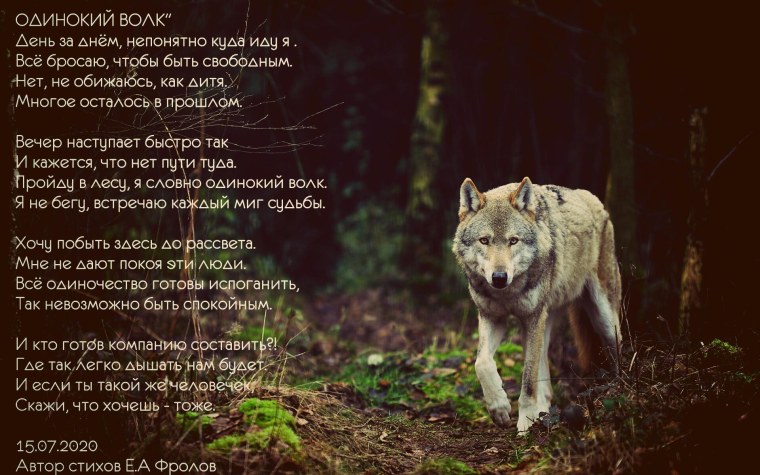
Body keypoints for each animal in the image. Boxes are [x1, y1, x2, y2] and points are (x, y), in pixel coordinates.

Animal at [452, 177, 622, 433]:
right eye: (484, 240)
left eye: (513, 241)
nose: (499, 277)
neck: (508, 294)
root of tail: (594, 200)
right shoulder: (493, 317)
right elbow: (481, 363)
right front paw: (499, 408)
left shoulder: (532, 318)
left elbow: (528, 379)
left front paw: (525, 421)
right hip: (543, 320)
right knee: (544, 375)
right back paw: (543, 410)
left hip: (603, 320)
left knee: (620, 351)